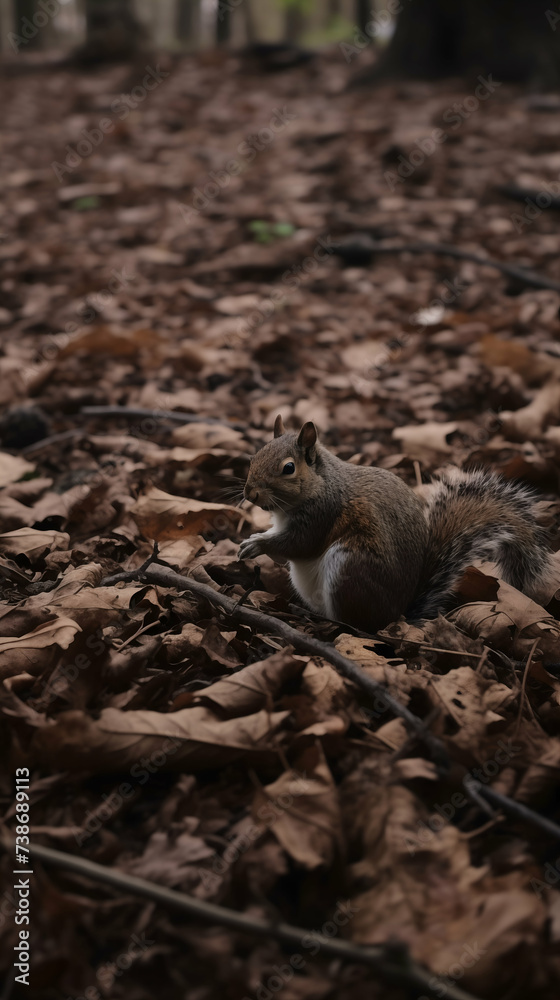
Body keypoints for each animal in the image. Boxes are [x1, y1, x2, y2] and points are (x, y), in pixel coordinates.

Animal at [237, 414, 556, 632]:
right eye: (254, 456)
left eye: (288, 468)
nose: (250, 493)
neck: (321, 485)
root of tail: (396, 615)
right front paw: (254, 539)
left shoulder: (321, 517)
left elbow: (298, 545)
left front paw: (256, 545)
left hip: (349, 568)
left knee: (354, 624)